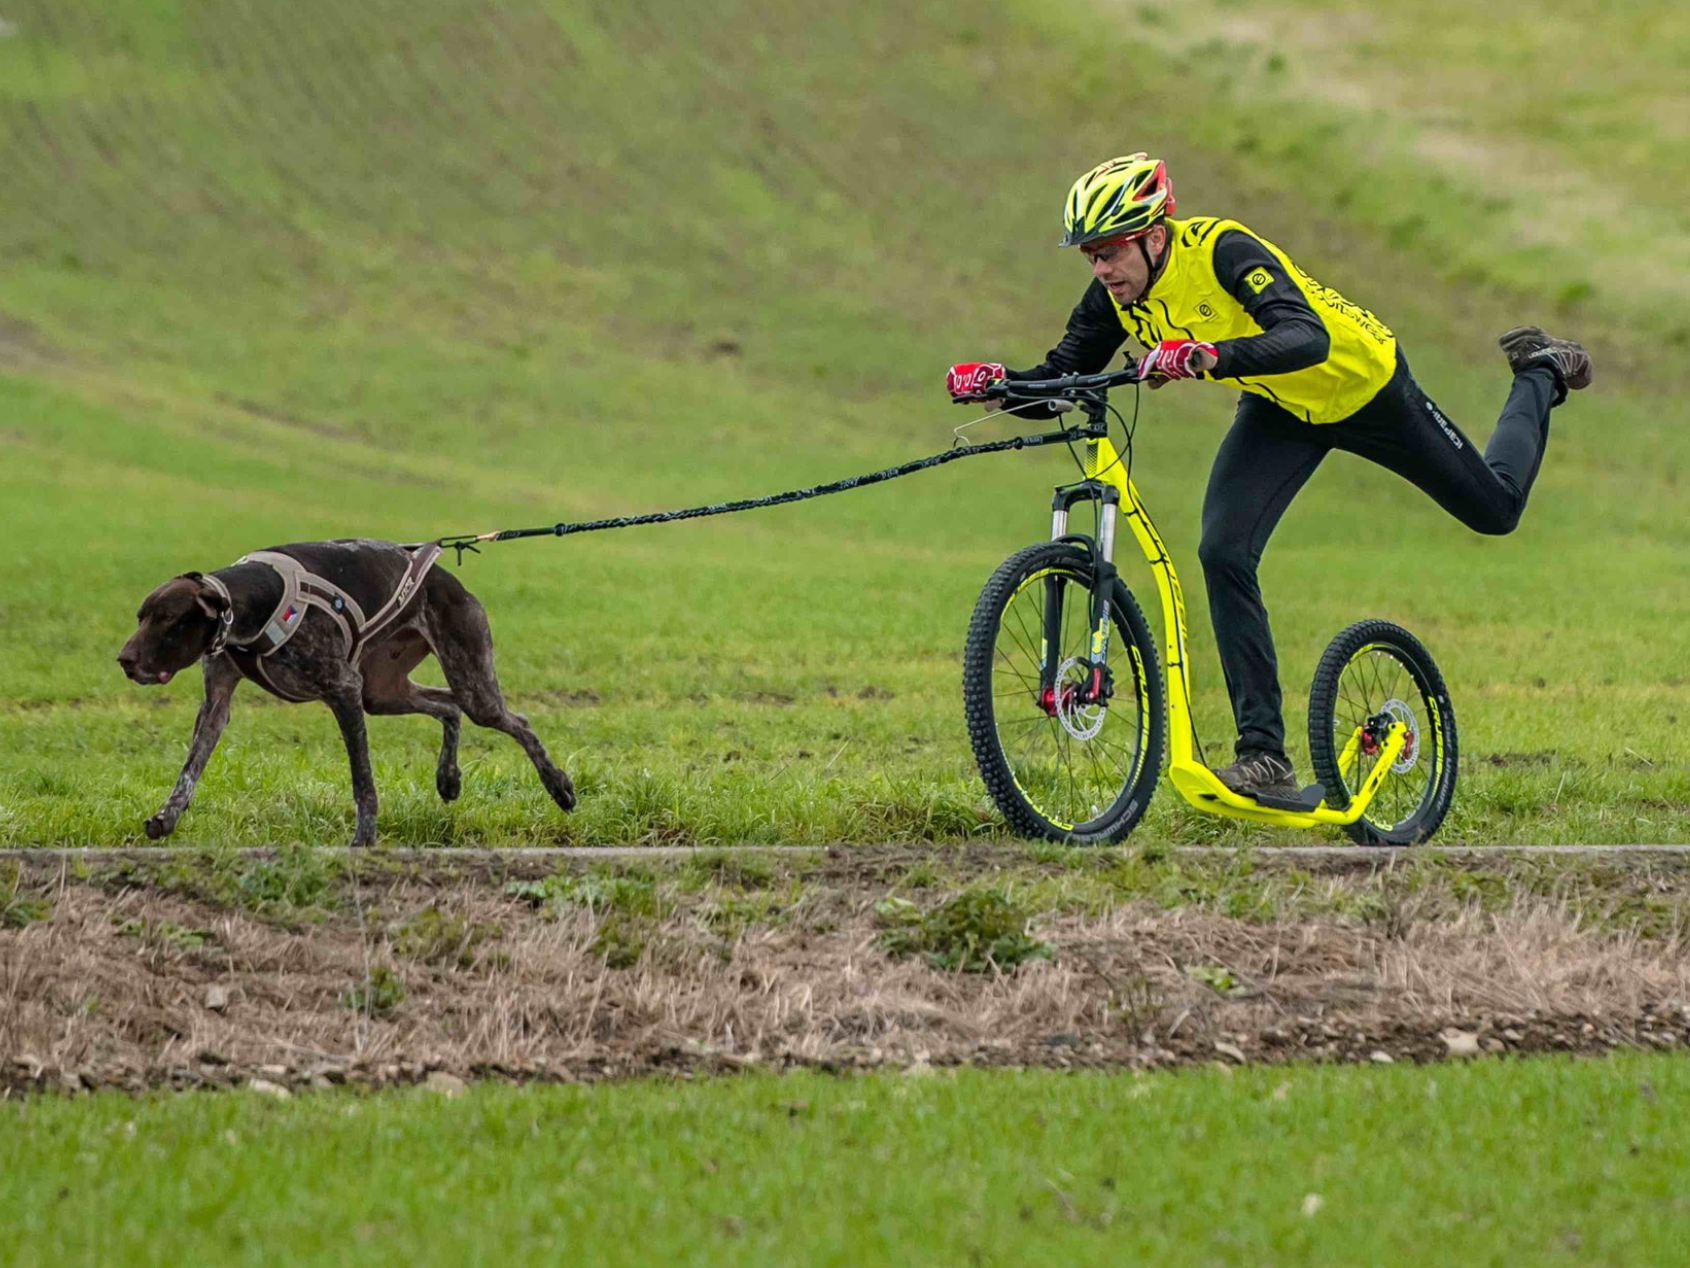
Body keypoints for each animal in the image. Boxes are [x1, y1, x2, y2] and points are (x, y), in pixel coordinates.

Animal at [117, 537, 581, 845]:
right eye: (140, 616)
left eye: (168, 619)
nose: (124, 660)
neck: (254, 604)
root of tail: (448, 579)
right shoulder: (216, 706)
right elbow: (189, 771)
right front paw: (166, 817)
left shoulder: (344, 691)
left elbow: (363, 782)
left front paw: (364, 838)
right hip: (382, 690)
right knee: (449, 707)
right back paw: (448, 778)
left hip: (469, 684)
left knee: (516, 721)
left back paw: (557, 784)